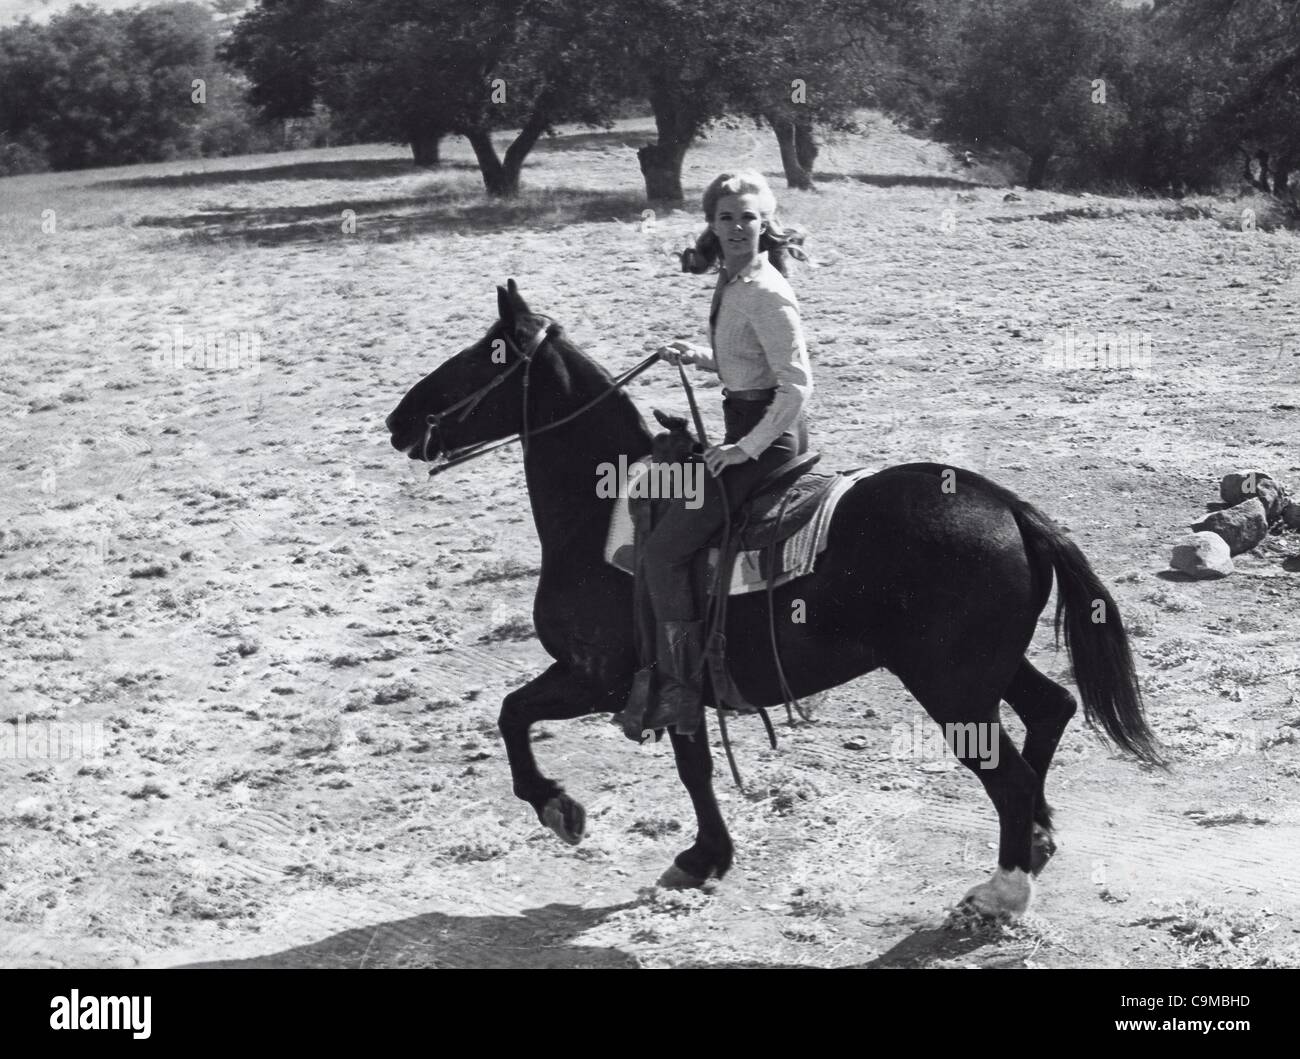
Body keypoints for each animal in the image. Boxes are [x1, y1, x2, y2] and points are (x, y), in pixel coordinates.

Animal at [379, 279, 1164, 919]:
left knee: (1010, 776)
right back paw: (1038, 837)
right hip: (986, 668)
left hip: (952, 686)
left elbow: (513, 713)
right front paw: (704, 856)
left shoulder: (597, 676)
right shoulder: (677, 682)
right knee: (1051, 709)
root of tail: (1010, 506)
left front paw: (560, 808)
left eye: (487, 354)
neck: (605, 509)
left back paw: (1002, 889)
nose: (397, 420)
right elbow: (692, 767)